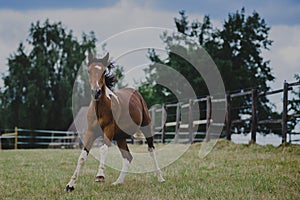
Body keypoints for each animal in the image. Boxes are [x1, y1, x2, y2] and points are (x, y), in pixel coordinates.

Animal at [65, 52, 166, 191]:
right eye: (89, 71)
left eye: (103, 72)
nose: (96, 92)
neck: (101, 108)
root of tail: (136, 94)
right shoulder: (90, 132)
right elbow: (82, 156)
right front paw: (70, 185)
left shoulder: (109, 129)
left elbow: (103, 149)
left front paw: (100, 176)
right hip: (120, 138)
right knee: (128, 157)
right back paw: (118, 182)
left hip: (146, 127)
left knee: (151, 150)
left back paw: (160, 178)